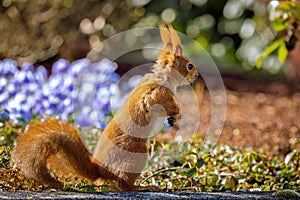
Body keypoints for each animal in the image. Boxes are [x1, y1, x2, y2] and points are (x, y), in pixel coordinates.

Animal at [11, 24, 199, 191]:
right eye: (189, 65)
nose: (196, 75)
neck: (164, 77)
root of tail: (100, 170)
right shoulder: (155, 92)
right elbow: (155, 102)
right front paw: (176, 111)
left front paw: (173, 118)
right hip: (135, 153)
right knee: (124, 185)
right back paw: (143, 187)